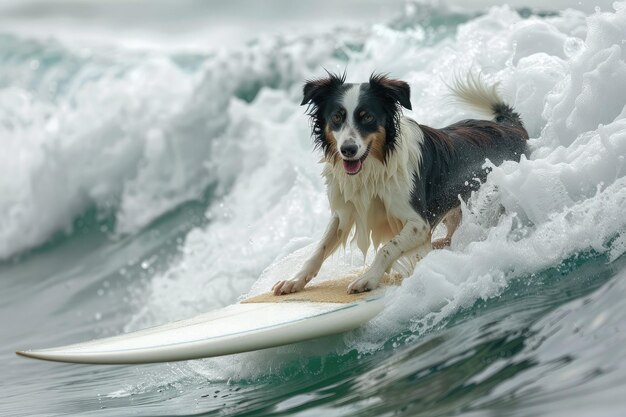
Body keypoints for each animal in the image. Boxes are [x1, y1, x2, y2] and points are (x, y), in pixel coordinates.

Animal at [272, 73, 528, 294]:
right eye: (337, 117)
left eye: (367, 116)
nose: (348, 150)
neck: (375, 167)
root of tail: (511, 127)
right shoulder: (345, 211)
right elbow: (320, 248)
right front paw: (295, 280)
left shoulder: (419, 223)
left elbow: (388, 247)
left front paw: (369, 278)